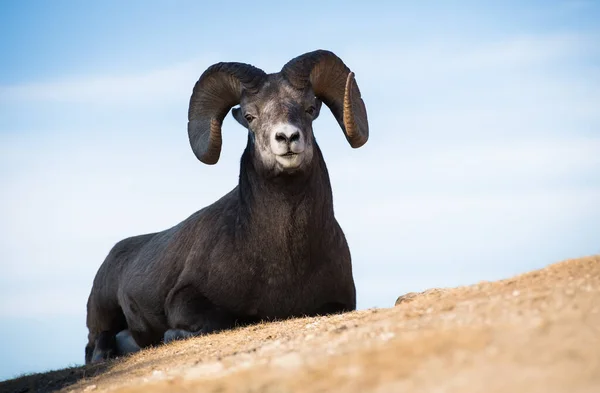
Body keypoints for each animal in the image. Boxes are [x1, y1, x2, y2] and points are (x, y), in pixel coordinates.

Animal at [83, 49, 366, 364]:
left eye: (309, 109)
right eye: (250, 116)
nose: (287, 138)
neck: (285, 257)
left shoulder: (339, 302)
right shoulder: (186, 299)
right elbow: (220, 319)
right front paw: (172, 335)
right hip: (103, 312)